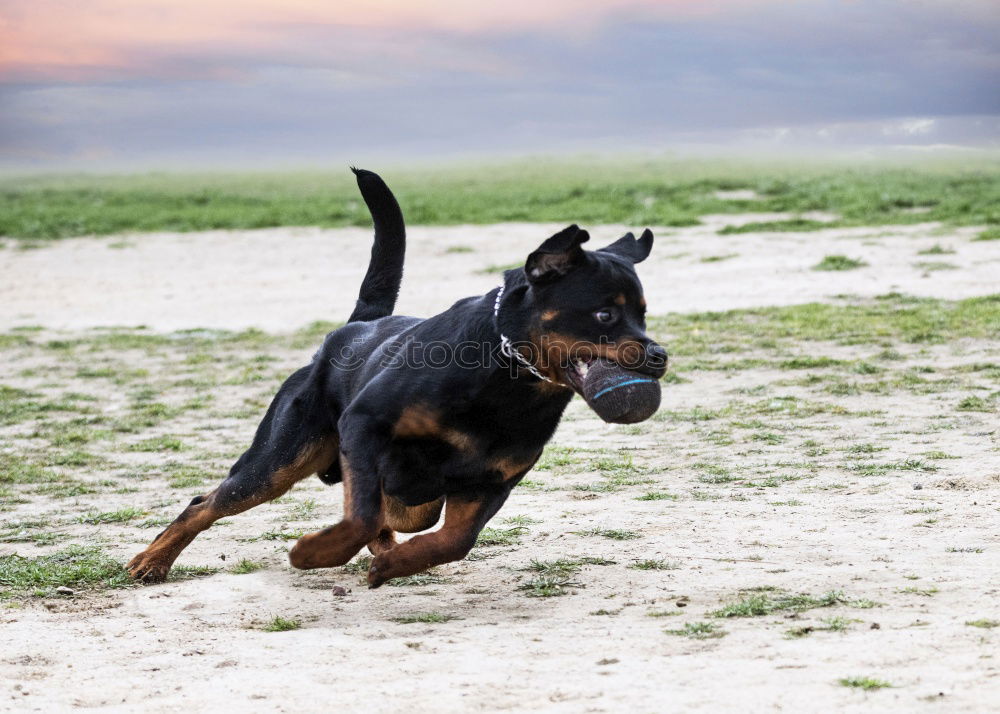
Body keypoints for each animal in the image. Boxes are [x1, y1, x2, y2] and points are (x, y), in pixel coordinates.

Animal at [129, 170, 668, 588]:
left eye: (643, 314)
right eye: (604, 315)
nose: (659, 355)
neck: (508, 378)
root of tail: (356, 326)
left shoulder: (492, 480)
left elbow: (453, 539)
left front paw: (397, 564)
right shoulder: (367, 426)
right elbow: (362, 515)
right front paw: (314, 553)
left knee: (399, 513)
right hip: (279, 459)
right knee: (208, 502)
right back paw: (152, 561)